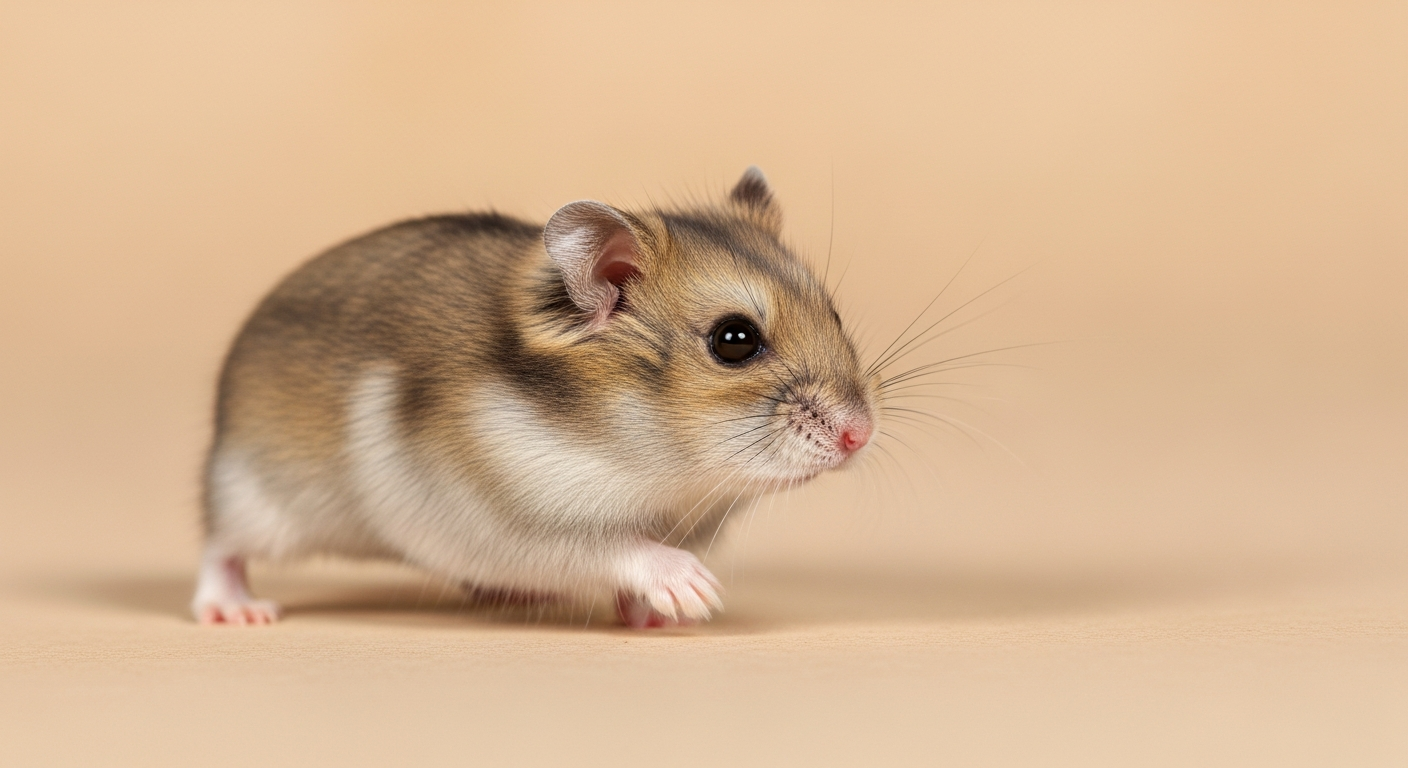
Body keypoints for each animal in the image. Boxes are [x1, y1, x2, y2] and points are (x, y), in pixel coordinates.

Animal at [192, 168, 878, 628]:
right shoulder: (511, 519)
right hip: (252, 494)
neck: (651, 461)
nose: (860, 435)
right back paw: (240, 612)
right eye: (734, 341)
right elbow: (613, 547)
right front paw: (696, 592)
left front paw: (656, 617)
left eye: (836, 313)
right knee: (219, 547)